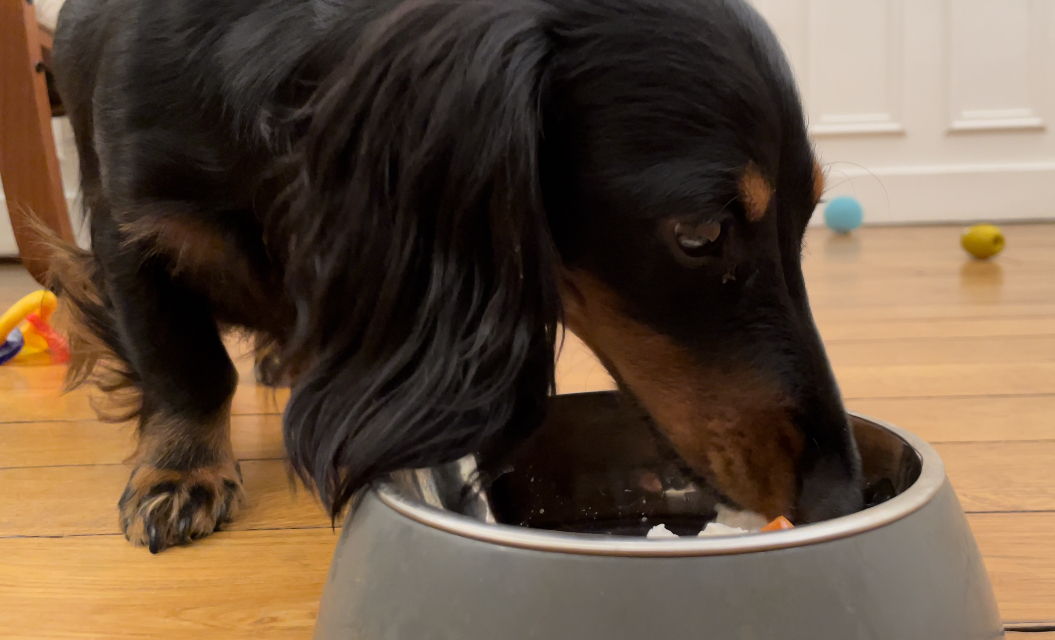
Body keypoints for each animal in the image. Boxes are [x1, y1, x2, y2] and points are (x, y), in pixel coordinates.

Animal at [49, 0, 865, 552]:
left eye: (806, 217)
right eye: (700, 235)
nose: (840, 494)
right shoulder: (130, 228)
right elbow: (185, 366)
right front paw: (180, 473)